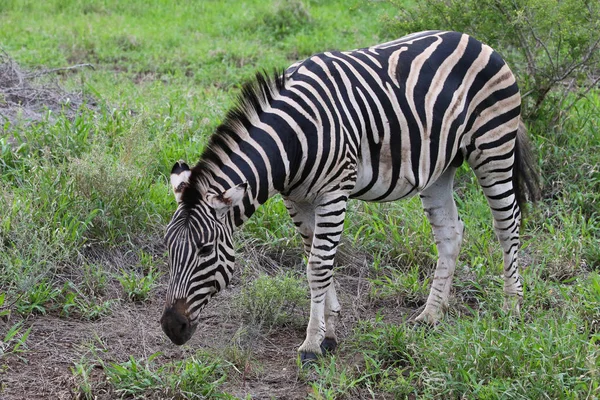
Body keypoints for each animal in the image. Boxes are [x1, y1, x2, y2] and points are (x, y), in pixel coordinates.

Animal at [159, 31, 540, 362]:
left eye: (205, 250)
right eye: (167, 248)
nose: (171, 328)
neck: (293, 139)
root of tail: (474, 39)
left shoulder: (334, 191)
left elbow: (318, 265)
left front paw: (311, 344)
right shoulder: (296, 199)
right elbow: (313, 257)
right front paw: (328, 330)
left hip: (493, 146)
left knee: (507, 224)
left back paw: (511, 307)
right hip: (439, 167)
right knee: (450, 232)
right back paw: (431, 315)